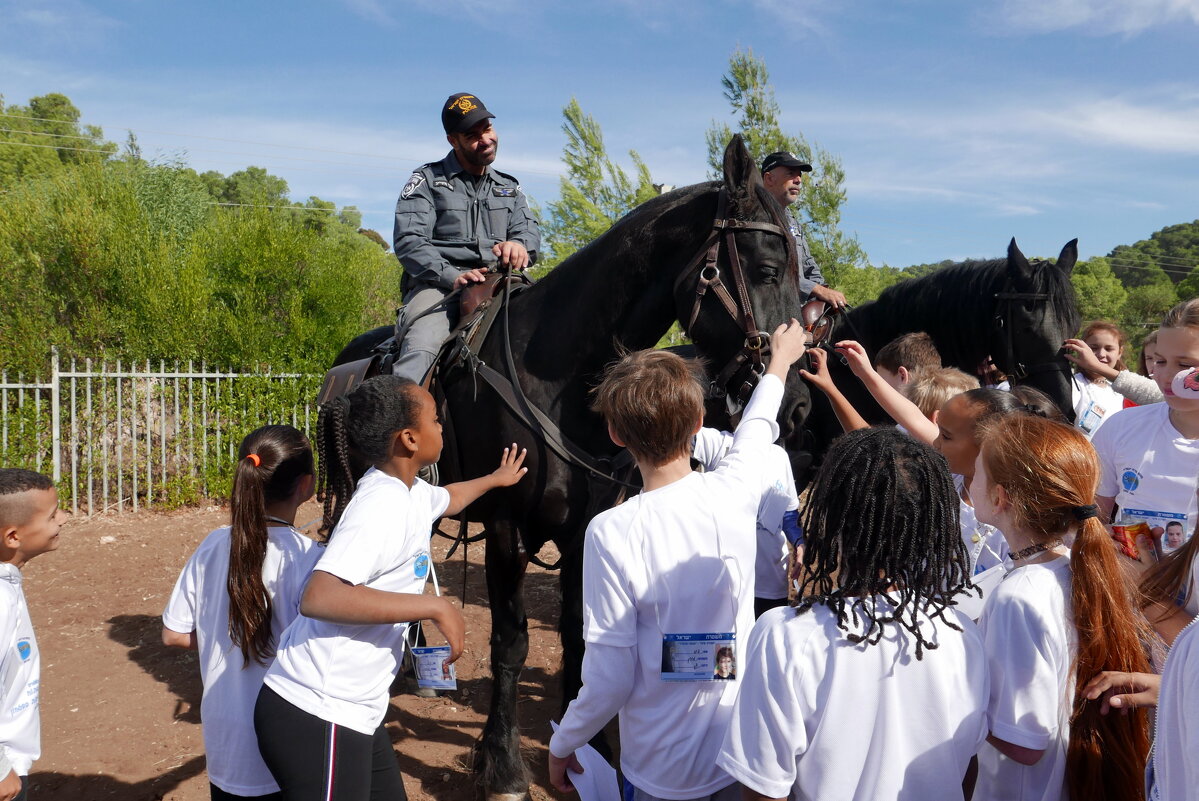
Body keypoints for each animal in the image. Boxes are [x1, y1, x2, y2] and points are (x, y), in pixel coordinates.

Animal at [328, 137, 805, 801]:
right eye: (765, 268)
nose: (797, 402)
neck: (557, 378)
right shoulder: (506, 529)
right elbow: (511, 642)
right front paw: (503, 765)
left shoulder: (584, 528)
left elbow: (580, 636)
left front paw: (591, 752)